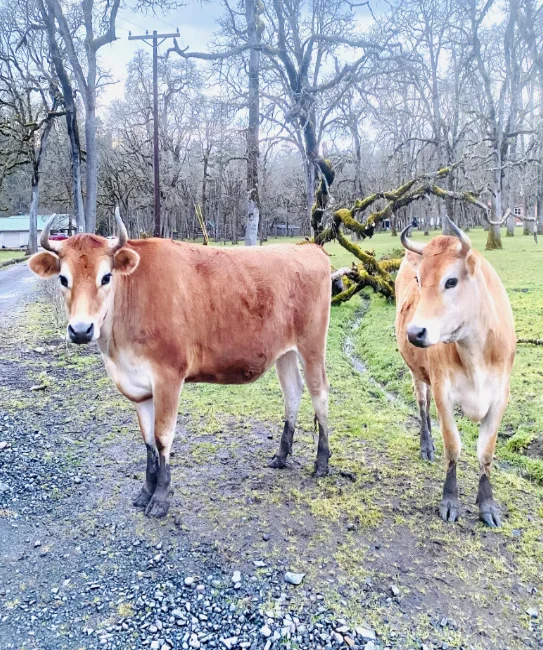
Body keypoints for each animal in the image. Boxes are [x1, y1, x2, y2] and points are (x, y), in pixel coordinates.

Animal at [28, 210, 332, 518]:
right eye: (63, 279)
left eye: (106, 277)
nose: (81, 330)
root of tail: (308, 248)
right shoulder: (140, 388)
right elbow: (148, 441)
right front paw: (145, 492)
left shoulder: (168, 376)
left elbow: (163, 437)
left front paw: (160, 498)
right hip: (285, 352)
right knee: (292, 391)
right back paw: (281, 456)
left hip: (312, 344)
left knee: (319, 393)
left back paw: (321, 463)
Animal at [395, 216, 516, 527]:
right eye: (418, 279)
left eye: (451, 280)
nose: (415, 332)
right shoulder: (443, 391)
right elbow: (453, 446)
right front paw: (450, 500)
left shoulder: (500, 397)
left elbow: (486, 451)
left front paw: (487, 505)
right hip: (417, 373)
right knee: (422, 404)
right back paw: (426, 445)